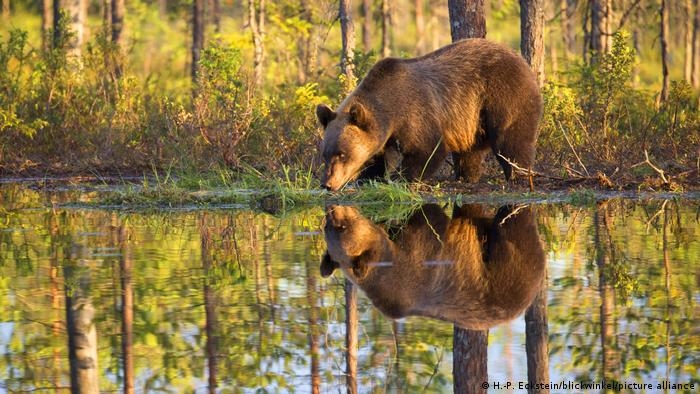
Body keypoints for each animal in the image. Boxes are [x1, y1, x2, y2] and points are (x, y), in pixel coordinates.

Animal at [318, 38, 540, 191]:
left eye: (341, 153)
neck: (391, 112)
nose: (327, 184)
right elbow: (376, 159)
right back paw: (466, 176)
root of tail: (521, 59)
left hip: (503, 95)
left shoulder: (416, 112)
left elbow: (428, 149)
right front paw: (369, 177)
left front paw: (401, 177)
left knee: (511, 140)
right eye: (325, 154)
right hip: (472, 120)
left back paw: (518, 175)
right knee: (470, 151)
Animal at [322, 203, 548, 330]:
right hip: (510, 269)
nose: (331, 210)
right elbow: (431, 218)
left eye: (339, 227)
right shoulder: (419, 257)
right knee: (512, 229)